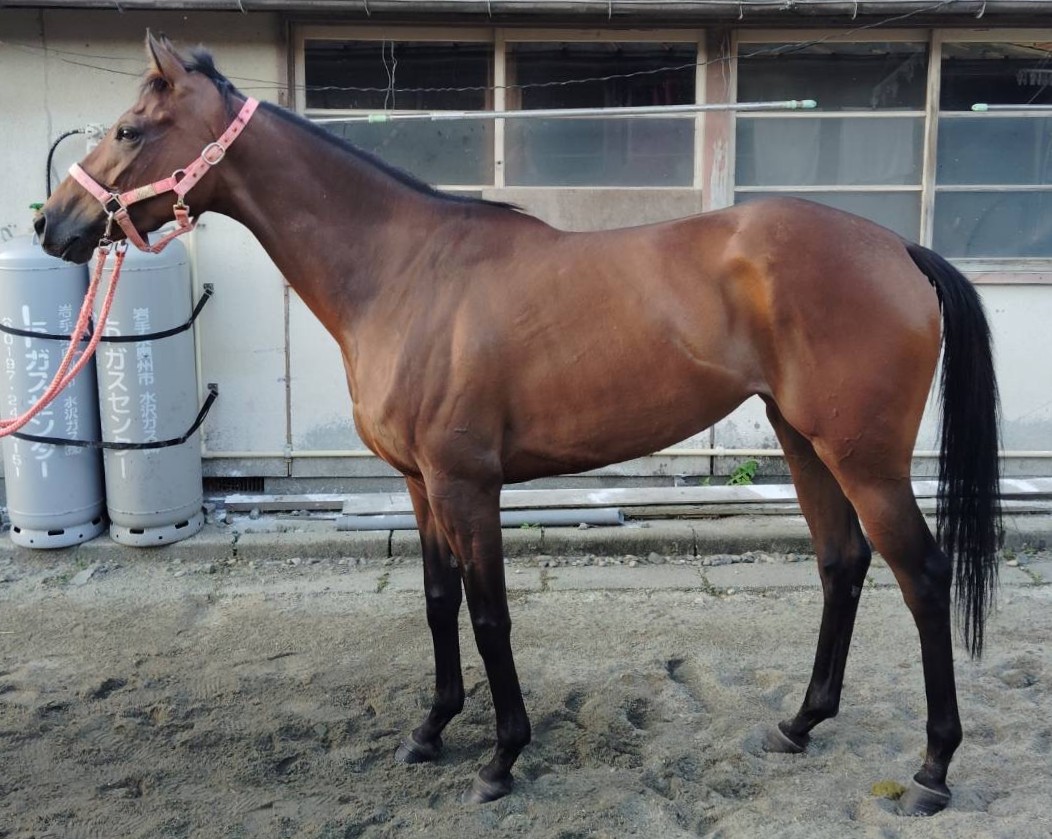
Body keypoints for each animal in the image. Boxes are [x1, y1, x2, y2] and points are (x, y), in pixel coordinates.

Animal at [35, 33, 1001, 816]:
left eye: (130, 130)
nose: (52, 223)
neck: (402, 269)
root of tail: (896, 247)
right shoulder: (420, 484)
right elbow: (438, 602)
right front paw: (430, 730)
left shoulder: (468, 483)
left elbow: (491, 612)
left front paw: (500, 757)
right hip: (806, 444)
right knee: (842, 564)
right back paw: (799, 722)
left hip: (864, 457)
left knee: (922, 575)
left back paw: (933, 769)